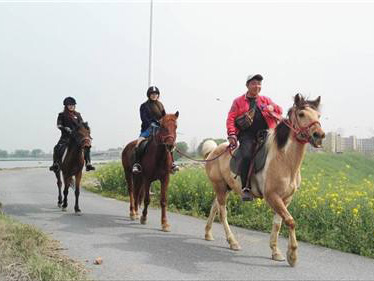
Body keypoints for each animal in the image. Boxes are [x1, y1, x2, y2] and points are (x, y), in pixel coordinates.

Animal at [202, 94, 324, 264]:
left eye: (318, 116)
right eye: (301, 114)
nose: (319, 135)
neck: (285, 159)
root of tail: (213, 151)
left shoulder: (286, 199)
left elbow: (278, 224)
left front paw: (276, 251)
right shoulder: (272, 196)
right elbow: (290, 221)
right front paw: (292, 255)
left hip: (225, 187)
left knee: (215, 207)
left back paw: (208, 234)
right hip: (219, 186)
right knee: (222, 213)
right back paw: (233, 242)